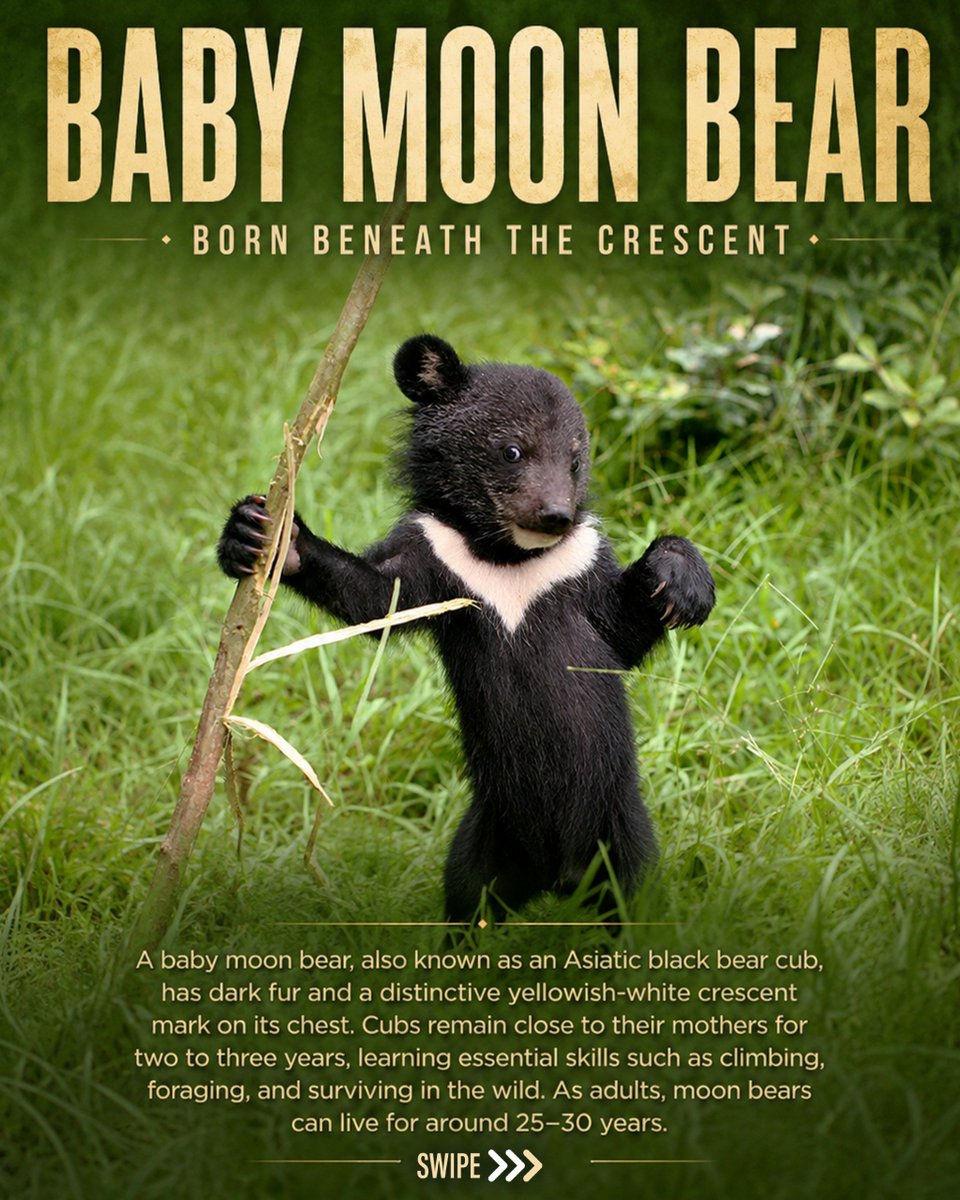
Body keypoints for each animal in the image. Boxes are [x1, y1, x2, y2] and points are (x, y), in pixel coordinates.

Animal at [217, 334, 715, 926]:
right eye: (512, 451)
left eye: (575, 460)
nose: (556, 515)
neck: (506, 555)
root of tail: (556, 876)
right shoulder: (436, 556)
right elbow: (377, 599)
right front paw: (259, 532)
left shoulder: (581, 566)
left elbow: (623, 632)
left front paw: (682, 582)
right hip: (482, 839)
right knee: (466, 894)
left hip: (620, 832)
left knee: (630, 895)